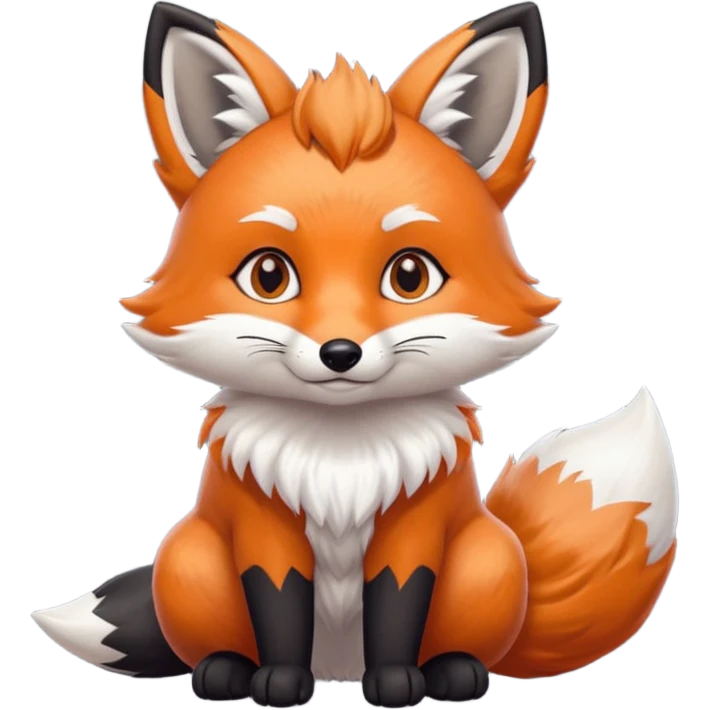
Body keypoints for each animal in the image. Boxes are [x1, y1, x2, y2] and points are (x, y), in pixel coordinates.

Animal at [31, 1, 679, 707]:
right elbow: (280, 608)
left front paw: (395, 683)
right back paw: (225, 671)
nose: (338, 352)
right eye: (269, 276)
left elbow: (397, 605)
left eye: (409, 277)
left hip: (490, 557)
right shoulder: (264, 528)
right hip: (189, 557)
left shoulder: (414, 528)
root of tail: (336, 668)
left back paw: (453, 671)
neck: (340, 457)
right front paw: (278, 684)